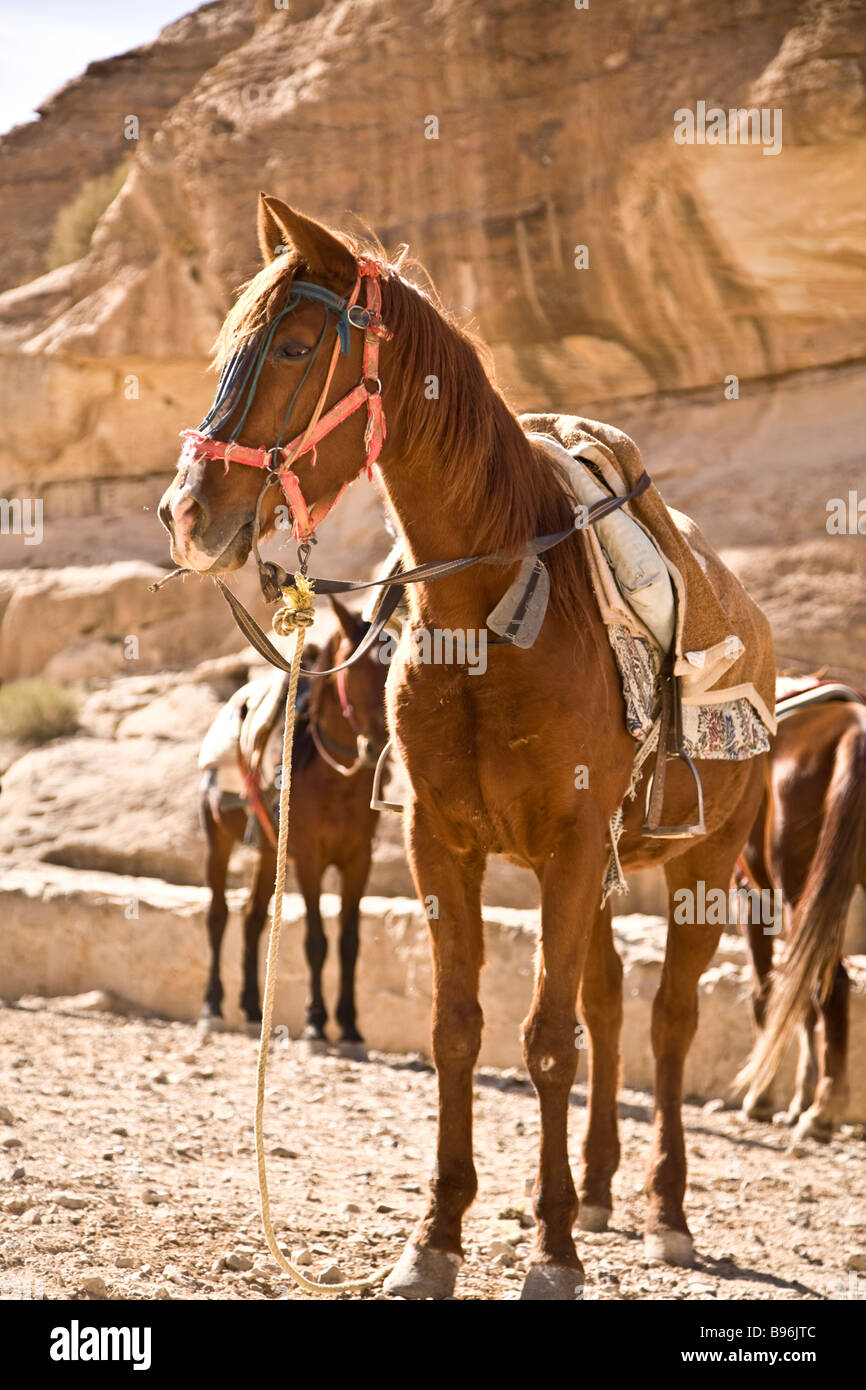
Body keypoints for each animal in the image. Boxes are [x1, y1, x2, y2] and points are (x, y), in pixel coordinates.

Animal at [198, 603, 389, 1045]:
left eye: (393, 670)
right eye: (354, 671)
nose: (375, 747)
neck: (335, 779)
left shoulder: (359, 859)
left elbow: (350, 941)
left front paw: (350, 1026)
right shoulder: (309, 858)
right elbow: (317, 940)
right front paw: (317, 1021)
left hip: (270, 850)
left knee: (252, 918)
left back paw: (253, 1007)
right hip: (218, 839)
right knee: (217, 915)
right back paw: (213, 1004)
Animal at [739, 692, 866, 1139]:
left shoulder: (752, 894)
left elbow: (767, 991)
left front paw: (763, 1097)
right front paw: (797, 1098)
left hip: (799, 894)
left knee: (833, 984)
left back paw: (825, 1109)